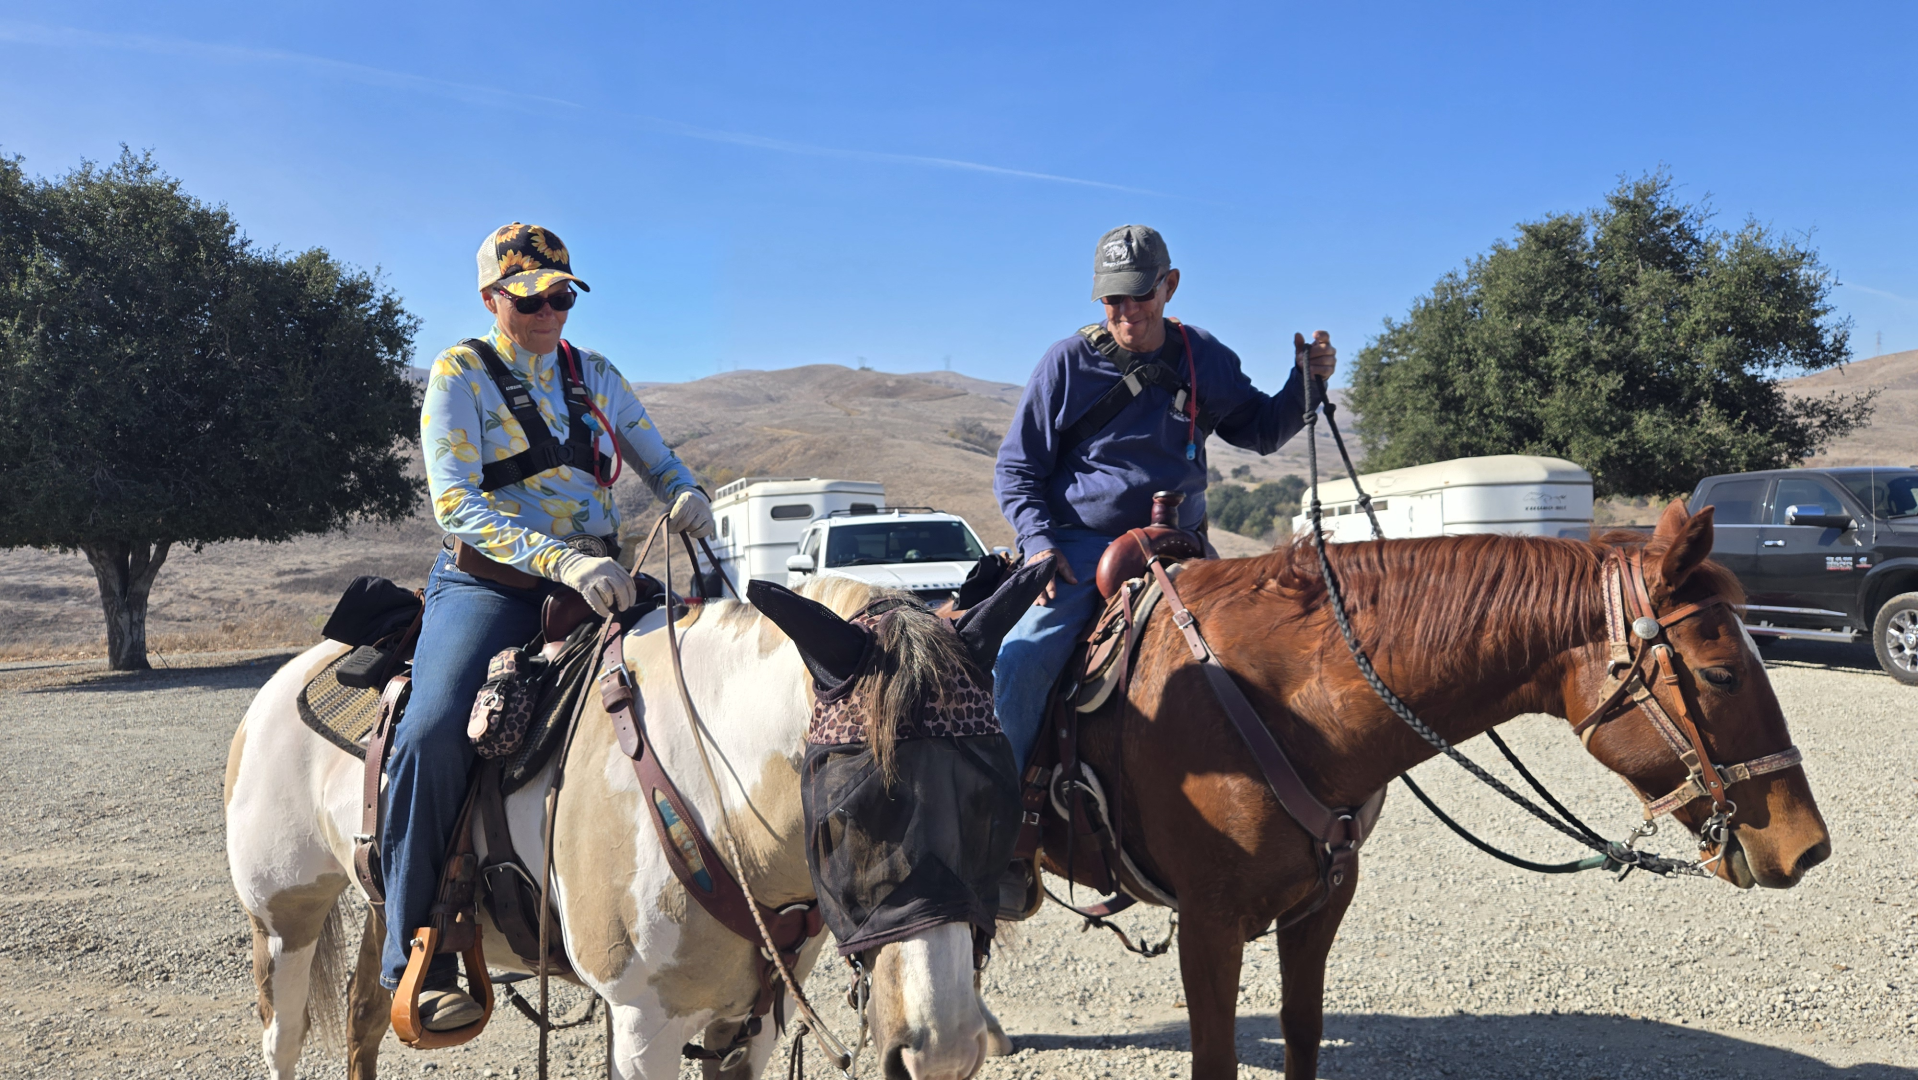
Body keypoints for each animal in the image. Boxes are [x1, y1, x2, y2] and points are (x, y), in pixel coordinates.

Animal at [228, 583, 1020, 1080]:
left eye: (998, 806)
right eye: (845, 812)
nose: (945, 1052)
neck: (709, 789)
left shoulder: (751, 1025)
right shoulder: (644, 1027)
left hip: (379, 904)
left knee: (365, 1015)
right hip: (283, 920)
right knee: (283, 1042)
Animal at [1058, 502, 1833, 1080]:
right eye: (1723, 674)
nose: (1809, 848)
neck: (1272, 702)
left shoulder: (1321, 902)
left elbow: (1303, 1031)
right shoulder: (1209, 923)